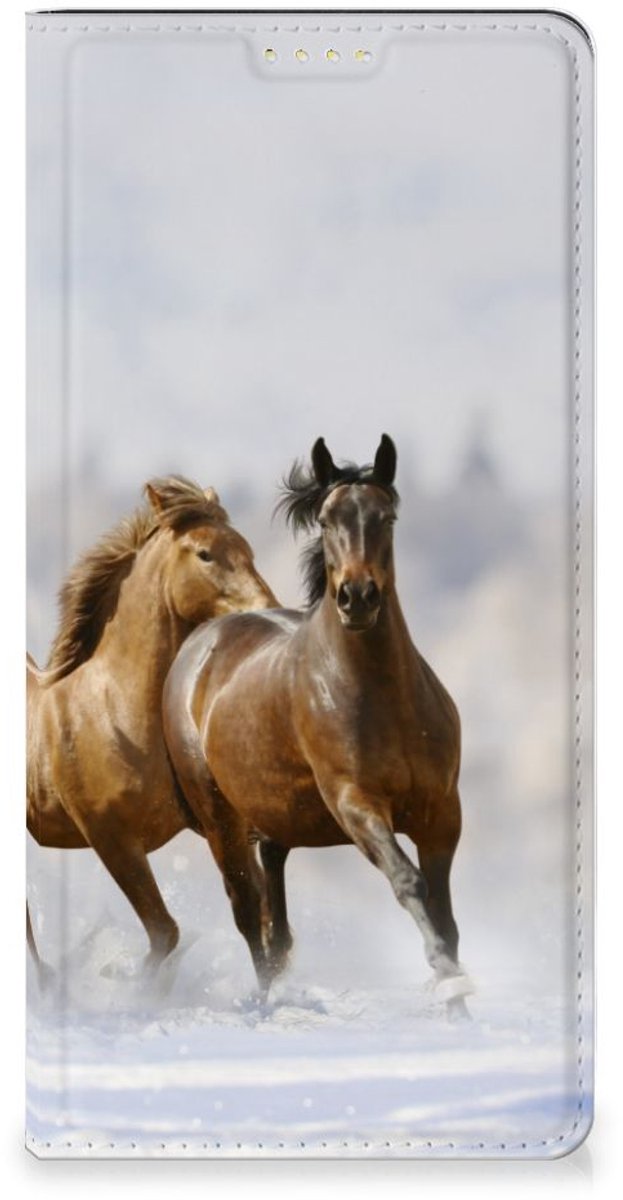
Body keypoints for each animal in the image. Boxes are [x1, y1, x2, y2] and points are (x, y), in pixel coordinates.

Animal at [27, 475, 276, 980]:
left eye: (247, 549)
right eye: (205, 554)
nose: (267, 609)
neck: (114, 713)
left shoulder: (219, 826)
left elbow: (254, 917)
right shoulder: (111, 839)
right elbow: (165, 932)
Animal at [163, 437, 473, 1017]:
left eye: (386, 517)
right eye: (327, 520)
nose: (357, 597)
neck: (383, 698)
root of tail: (200, 643)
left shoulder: (442, 812)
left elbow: (445, 912)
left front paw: (459, 1004)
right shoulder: (356, 804)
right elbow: (409, 882)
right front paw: (448, 981)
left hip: (274, 819)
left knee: (275, 919)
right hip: (220, 821)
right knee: (248, 912)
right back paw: (264, 1005)